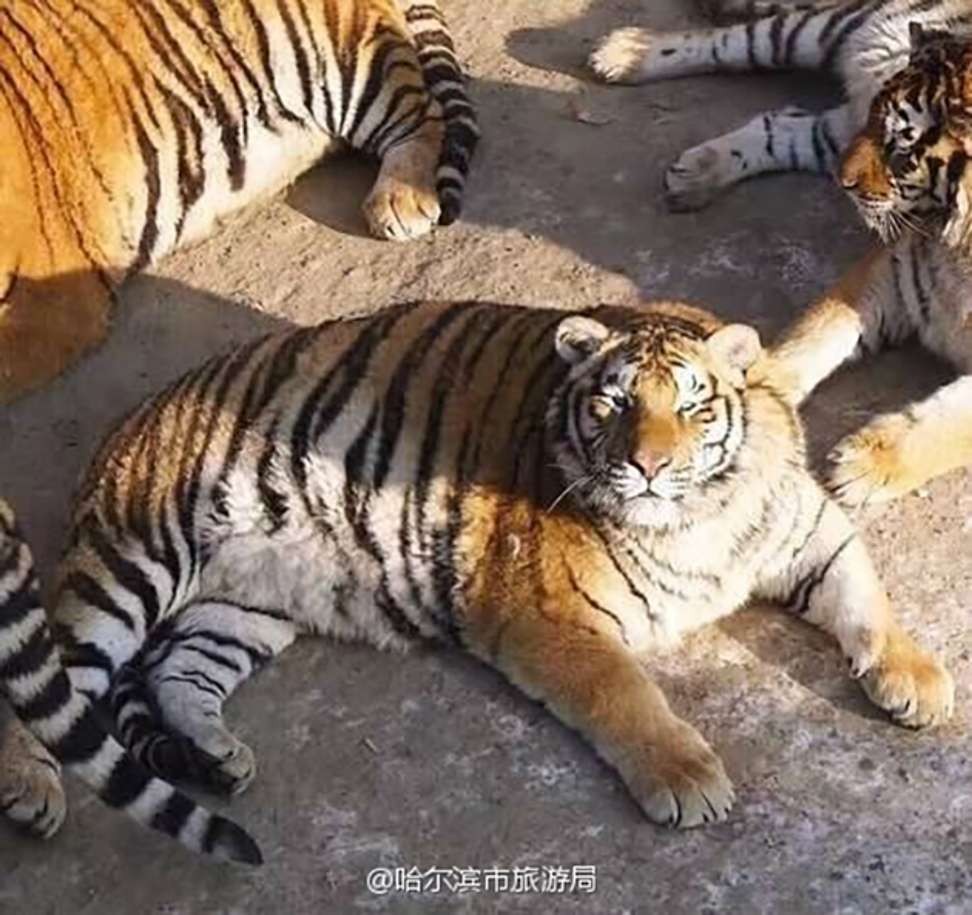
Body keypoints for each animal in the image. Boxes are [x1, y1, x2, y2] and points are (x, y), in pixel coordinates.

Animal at [0, 302, 956, 864]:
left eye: (692, 405)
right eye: (613, 404)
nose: (648, 468)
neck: (697, 519)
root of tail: (126, 425)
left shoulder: (808, 529)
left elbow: (864, 593)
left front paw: (916, 678)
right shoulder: (544, 614)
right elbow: (626, 695)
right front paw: (685, 775)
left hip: (244, 604)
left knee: (177, 671)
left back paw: (214, 753)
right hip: (134, 561)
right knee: (47, 687)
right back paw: (32, 790)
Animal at [588, 5, 972, 508]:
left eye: (901, 145)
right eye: (882, 128)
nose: (841, 182)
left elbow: (947, 427)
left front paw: (861, 466)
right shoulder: (890, 265)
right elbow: (817, 334)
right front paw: (752, 394)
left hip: (834, 125)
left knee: (786, 123)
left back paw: (698, 172)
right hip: (821, 36)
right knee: (734, 44)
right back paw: (625, 52)